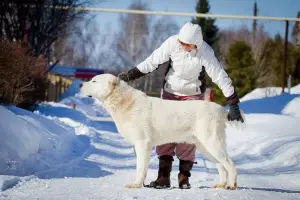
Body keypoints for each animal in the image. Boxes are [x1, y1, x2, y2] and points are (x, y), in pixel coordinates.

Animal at [79, 74, 244, 191]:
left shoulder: (142, 144)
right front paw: (141, 183)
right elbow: (143, 167)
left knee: (230, 164)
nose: (80, 84)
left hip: (212, 142)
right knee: (221, 166)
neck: (123, 101)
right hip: (205, 146)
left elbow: (140, 167)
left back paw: (231, 185)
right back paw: (221, 184)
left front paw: (136, 184)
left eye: (94, 81)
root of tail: (221, 110)